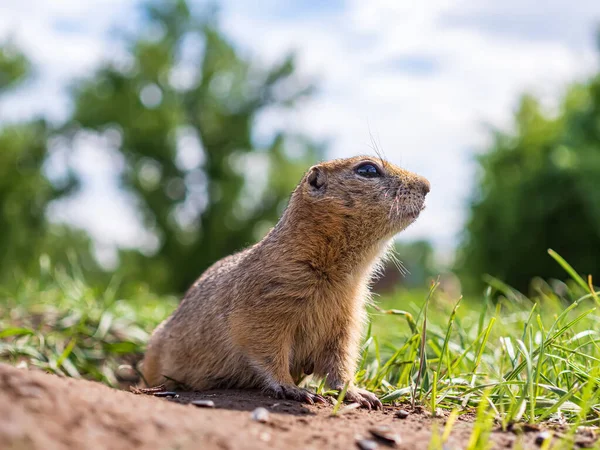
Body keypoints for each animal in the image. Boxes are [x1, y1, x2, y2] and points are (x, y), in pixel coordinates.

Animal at [143, 156, 428, 410]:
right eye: (368, 169)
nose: (427, 185)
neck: (339, 271)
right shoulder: (266, 304)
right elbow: (267, 348)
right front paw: (291, 388)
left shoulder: (345, 320)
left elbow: (340, 360)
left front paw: (357, 392)